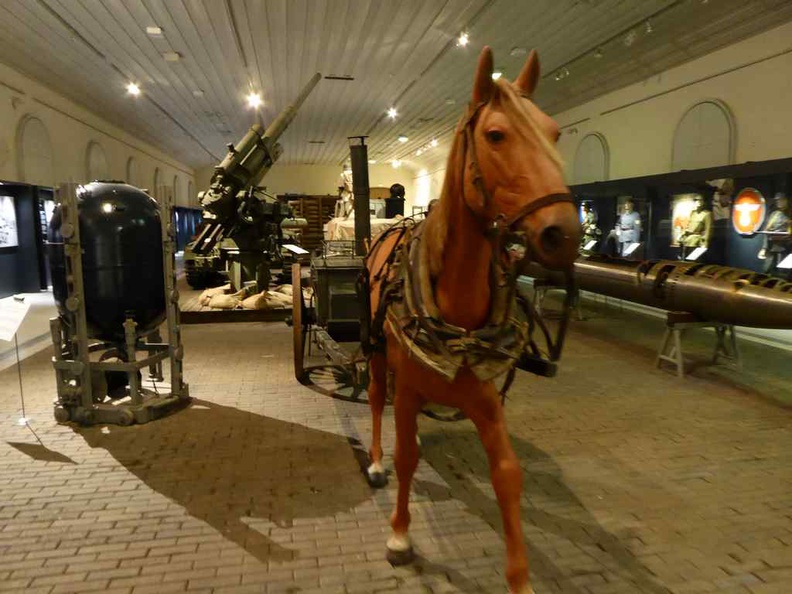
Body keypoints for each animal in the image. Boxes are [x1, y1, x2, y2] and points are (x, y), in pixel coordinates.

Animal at [366, 47, 580, 592]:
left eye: (554, 133)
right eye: (496, 135)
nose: (565, 234)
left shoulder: (485, 398)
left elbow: (507, 474)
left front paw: (520, 577)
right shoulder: (408, 384)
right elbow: (405, 456)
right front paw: (399, 535)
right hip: (373, 350)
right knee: (377, 398)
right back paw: (375, 461)